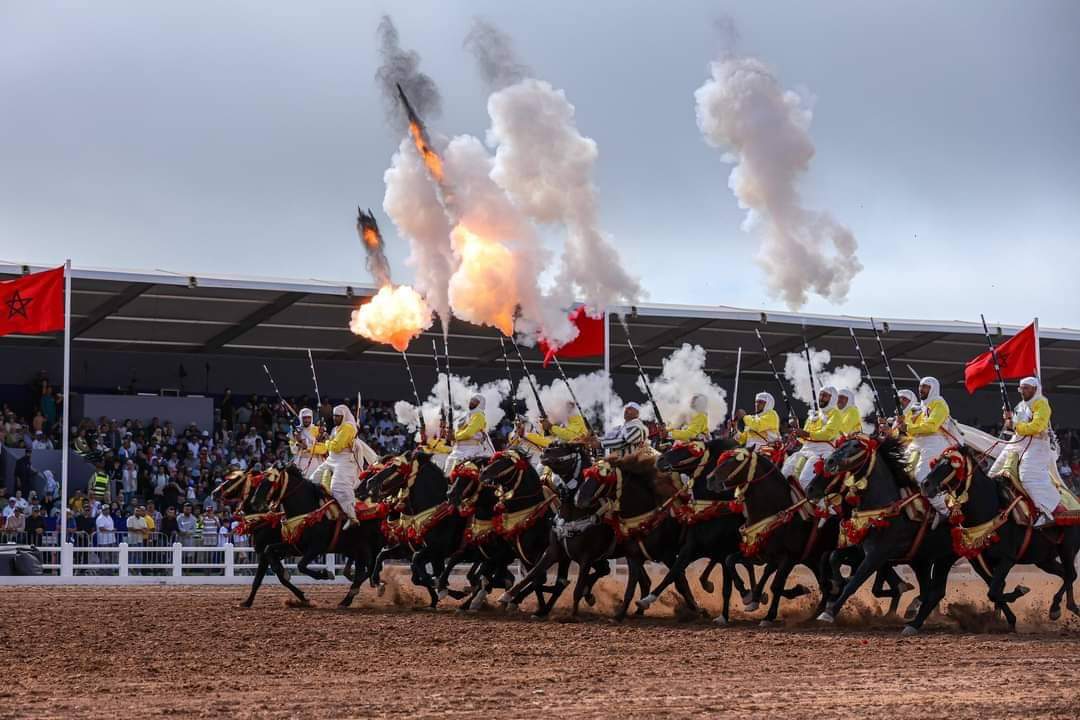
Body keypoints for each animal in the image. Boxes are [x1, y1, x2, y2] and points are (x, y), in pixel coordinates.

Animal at [704, 444, 838, 626]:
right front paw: (747, 595)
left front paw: (768, 616)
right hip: (814, 558)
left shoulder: (788, 558)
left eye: (735, 460)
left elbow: (776, 585)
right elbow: (730, 560)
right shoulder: (757, 552)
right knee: (826, 584)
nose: (710, 479)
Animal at [920, 444, 1080, 626]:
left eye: (951, 463)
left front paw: (1019, 592)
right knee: (1066, 574)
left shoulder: (1007, 558)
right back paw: (1072, 606)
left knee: (1071, 574)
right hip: (1044, 559)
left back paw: (1055, 608)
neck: (990, 507)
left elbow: (995, 590)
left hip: (1067, 549)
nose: (925, 484)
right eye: (936, 462)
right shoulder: (978, 561)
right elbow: (995, 589)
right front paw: (1008, 616)